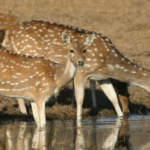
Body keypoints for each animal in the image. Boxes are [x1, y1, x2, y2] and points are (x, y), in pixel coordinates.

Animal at [0, 19, 131, 119]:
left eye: (128, 93)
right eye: (120, 91)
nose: (127, 112)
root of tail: (8, 34)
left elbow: (91, 82)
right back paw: (24, 112)